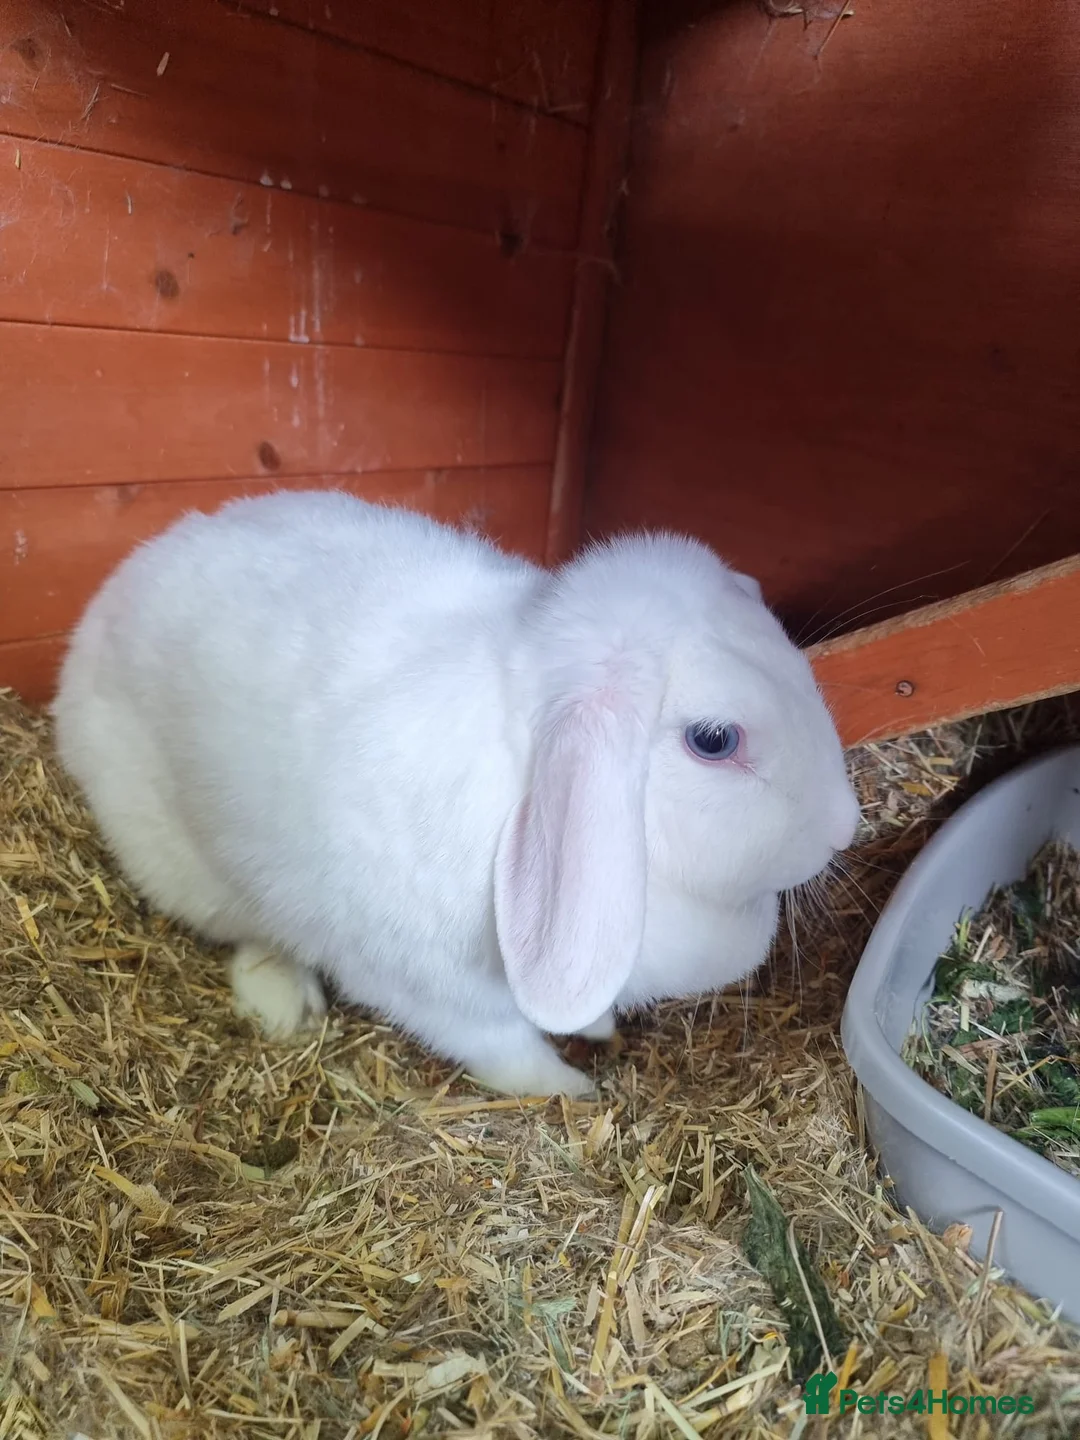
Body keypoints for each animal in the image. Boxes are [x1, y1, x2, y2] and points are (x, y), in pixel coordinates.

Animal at [52, 490, 860, 1098]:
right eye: (715, 741)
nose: (845, 828)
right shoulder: (430, 989)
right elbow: (505, 1050)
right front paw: (573, 1090)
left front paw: (597, 1029)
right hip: (188, 869)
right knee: (251, 933)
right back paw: (282, 1002)